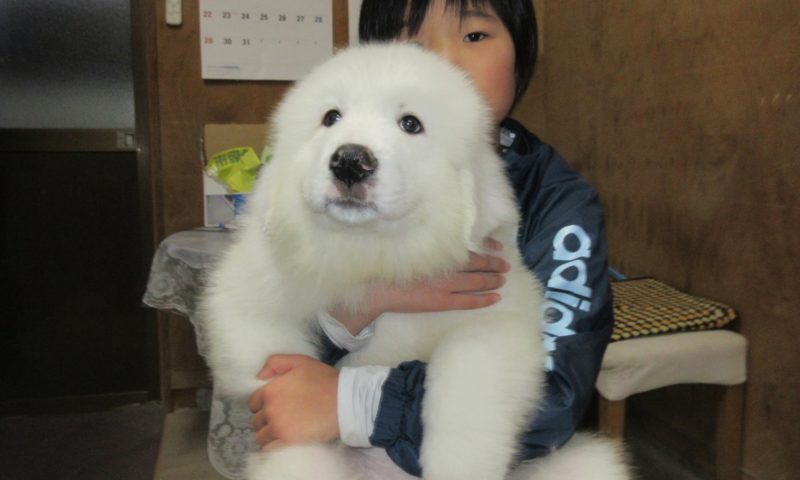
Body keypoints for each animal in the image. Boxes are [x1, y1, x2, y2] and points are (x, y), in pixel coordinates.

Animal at [202, 43, 632, 478]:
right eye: (331, 117)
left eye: (410, 124)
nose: (350, 160)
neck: (377, 254)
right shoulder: (247, 296)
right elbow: (272, 373)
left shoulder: (495, 322)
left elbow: (466, 390)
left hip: (586, 463)